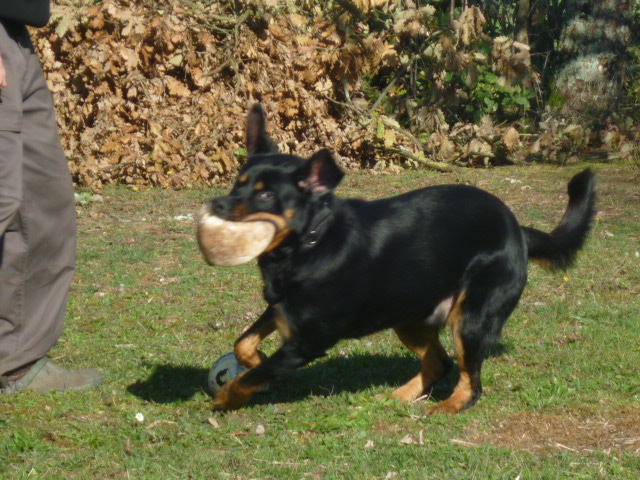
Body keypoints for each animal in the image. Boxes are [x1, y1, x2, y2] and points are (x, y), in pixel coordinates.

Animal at [199, 104, 596, 412]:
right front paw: (252, 362)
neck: (309, 244)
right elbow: (243, 343)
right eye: (238, 183)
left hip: (471, 317)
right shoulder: (281, 308)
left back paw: (448, 406)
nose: (217, 205)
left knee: (471, 380)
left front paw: (227, 397)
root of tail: (517, 230)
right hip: (409, 314)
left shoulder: (306, 343)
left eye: (265, 196)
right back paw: (402, 396)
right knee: (439, 363)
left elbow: (252, 374)